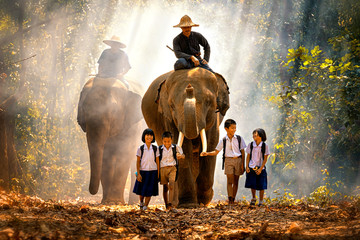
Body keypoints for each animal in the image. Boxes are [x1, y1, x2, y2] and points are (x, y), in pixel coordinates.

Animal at [142, 68, 229, 208]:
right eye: (172, 105)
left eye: (209, 102)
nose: (189, 87)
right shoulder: (169, 119)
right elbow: (181, 148)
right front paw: (188, 204)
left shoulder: (214, 120)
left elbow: (211, 143)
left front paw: (204, 200)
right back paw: (174, 203)